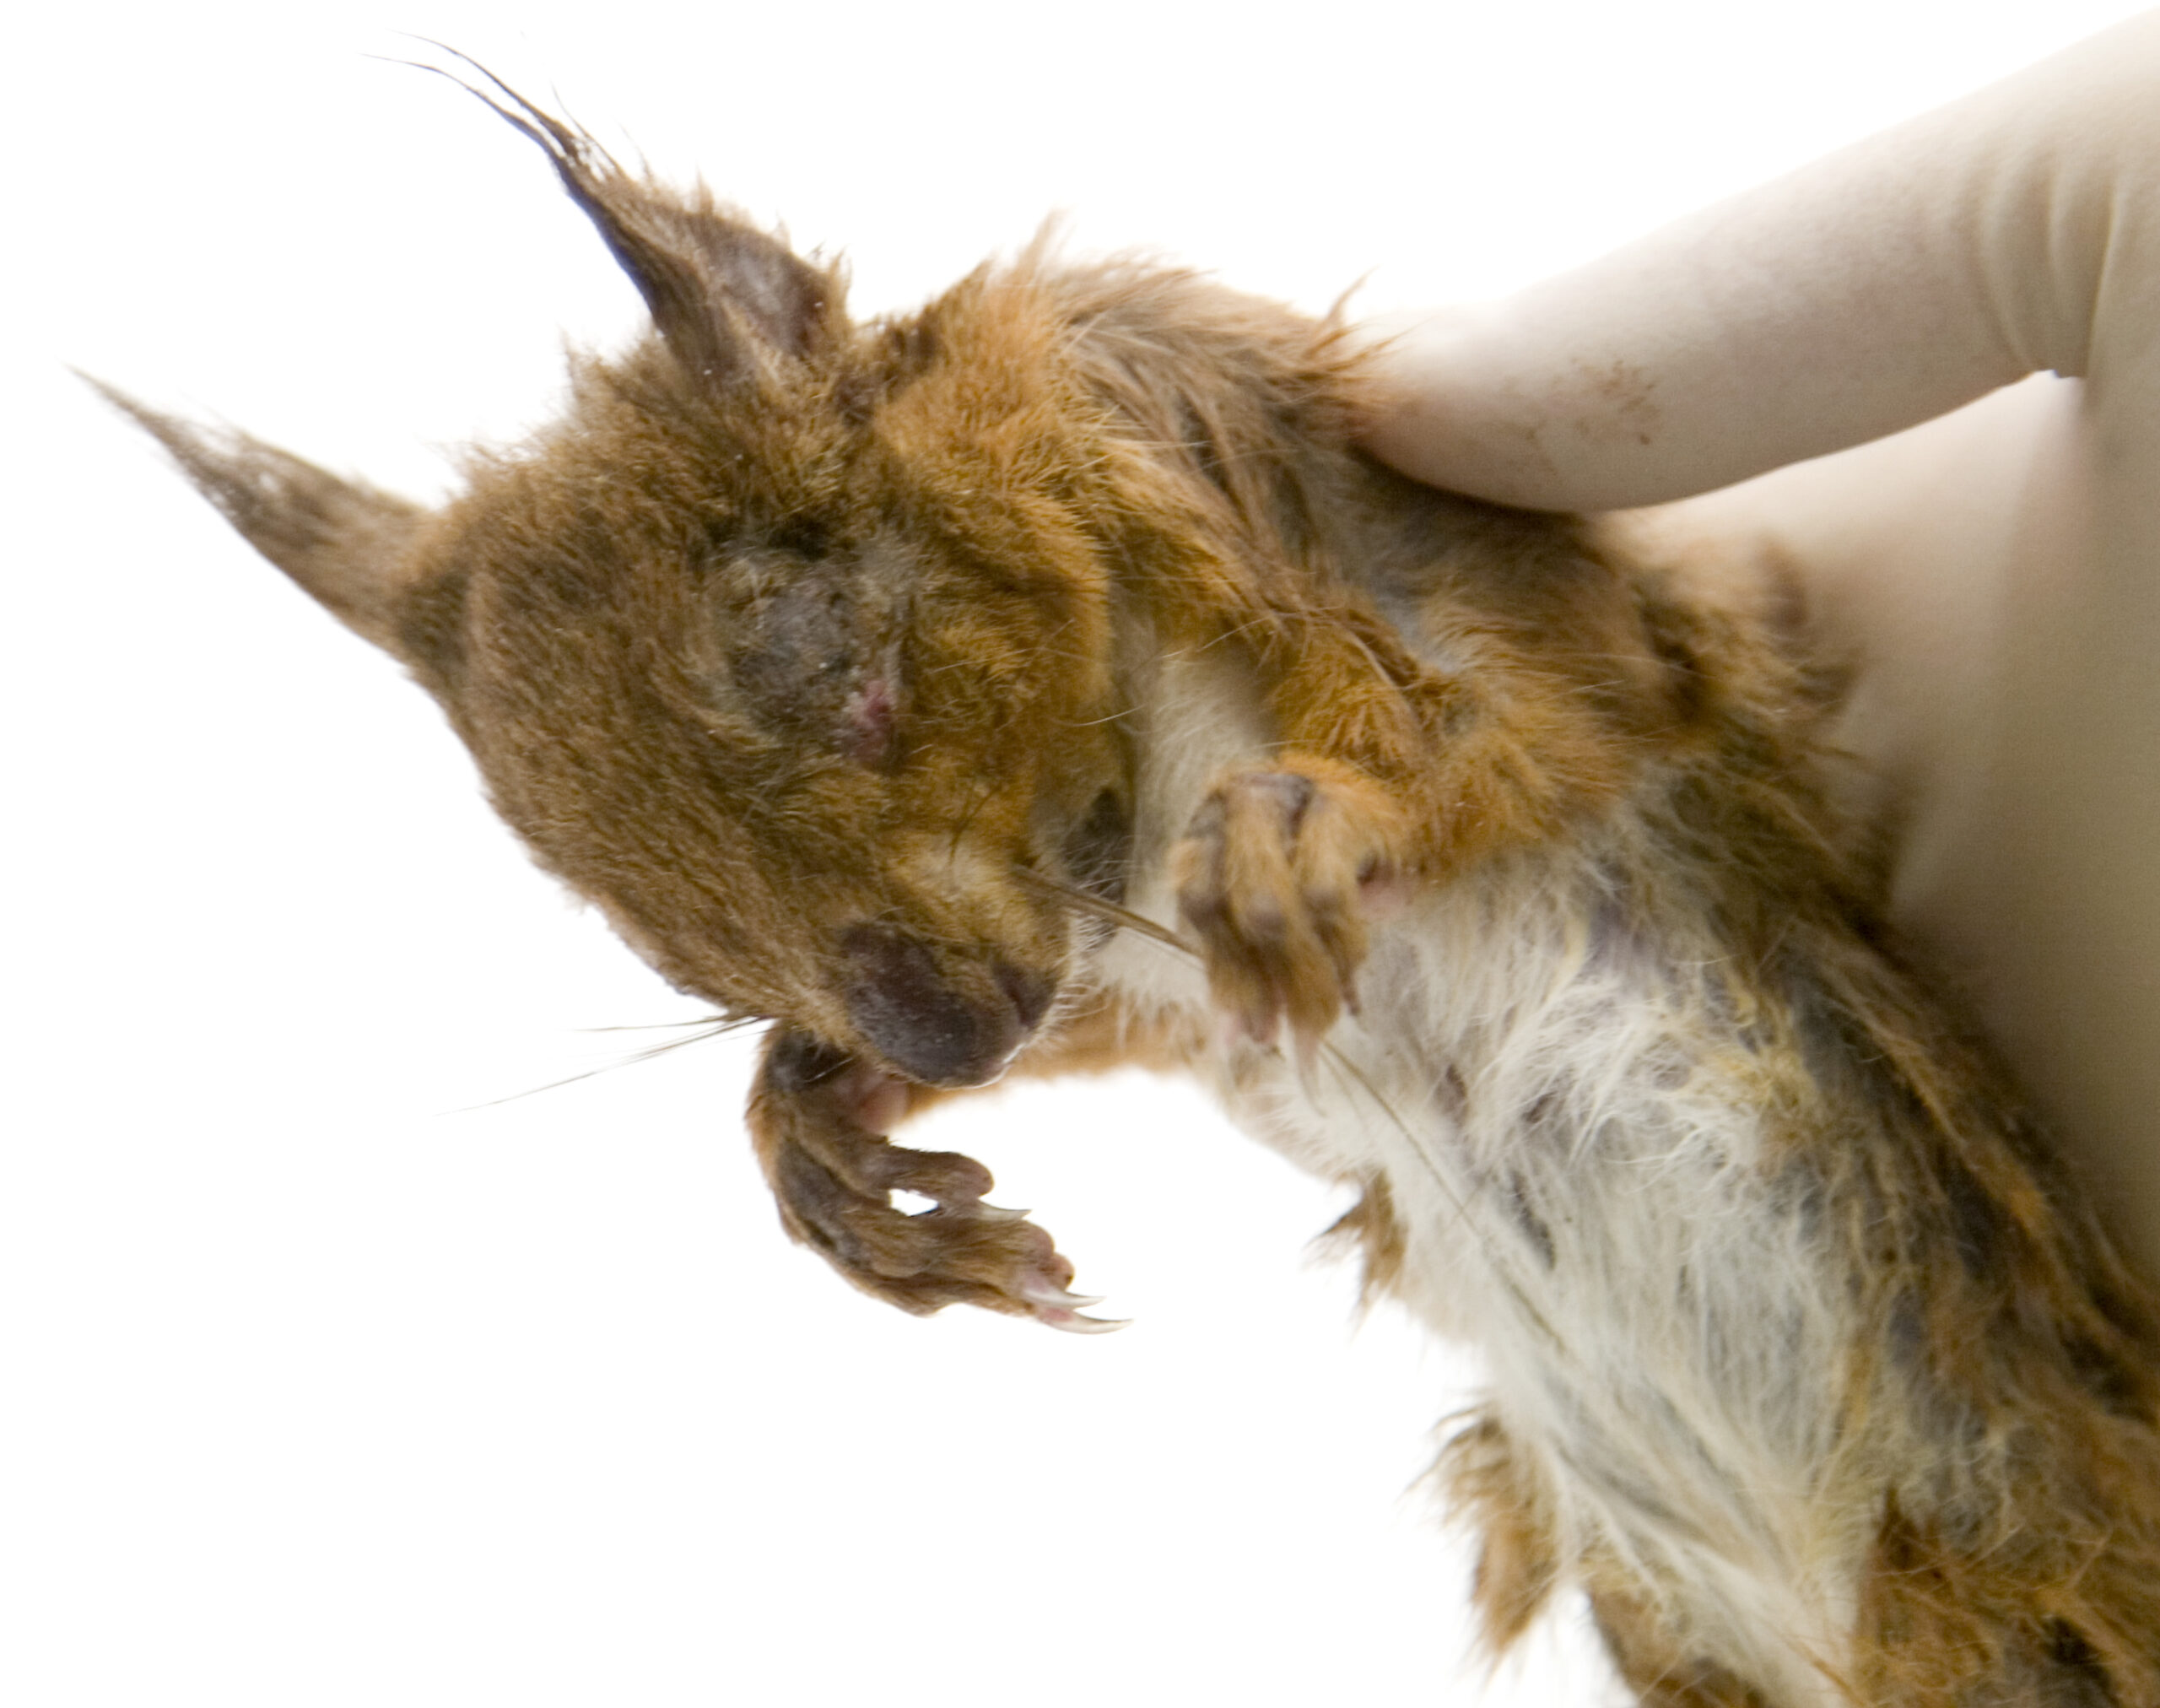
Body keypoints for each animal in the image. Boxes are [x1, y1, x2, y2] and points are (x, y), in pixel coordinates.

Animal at [97, 66, 2160, 1708]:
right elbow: (1082, 1008)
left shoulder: (1362, 526)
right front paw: (828, 1154)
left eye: (855, 669)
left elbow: (1516, 732)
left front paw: (1298, 829)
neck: (1133, 745)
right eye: (617, 907)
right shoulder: (1101, 960)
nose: (937, 1029)